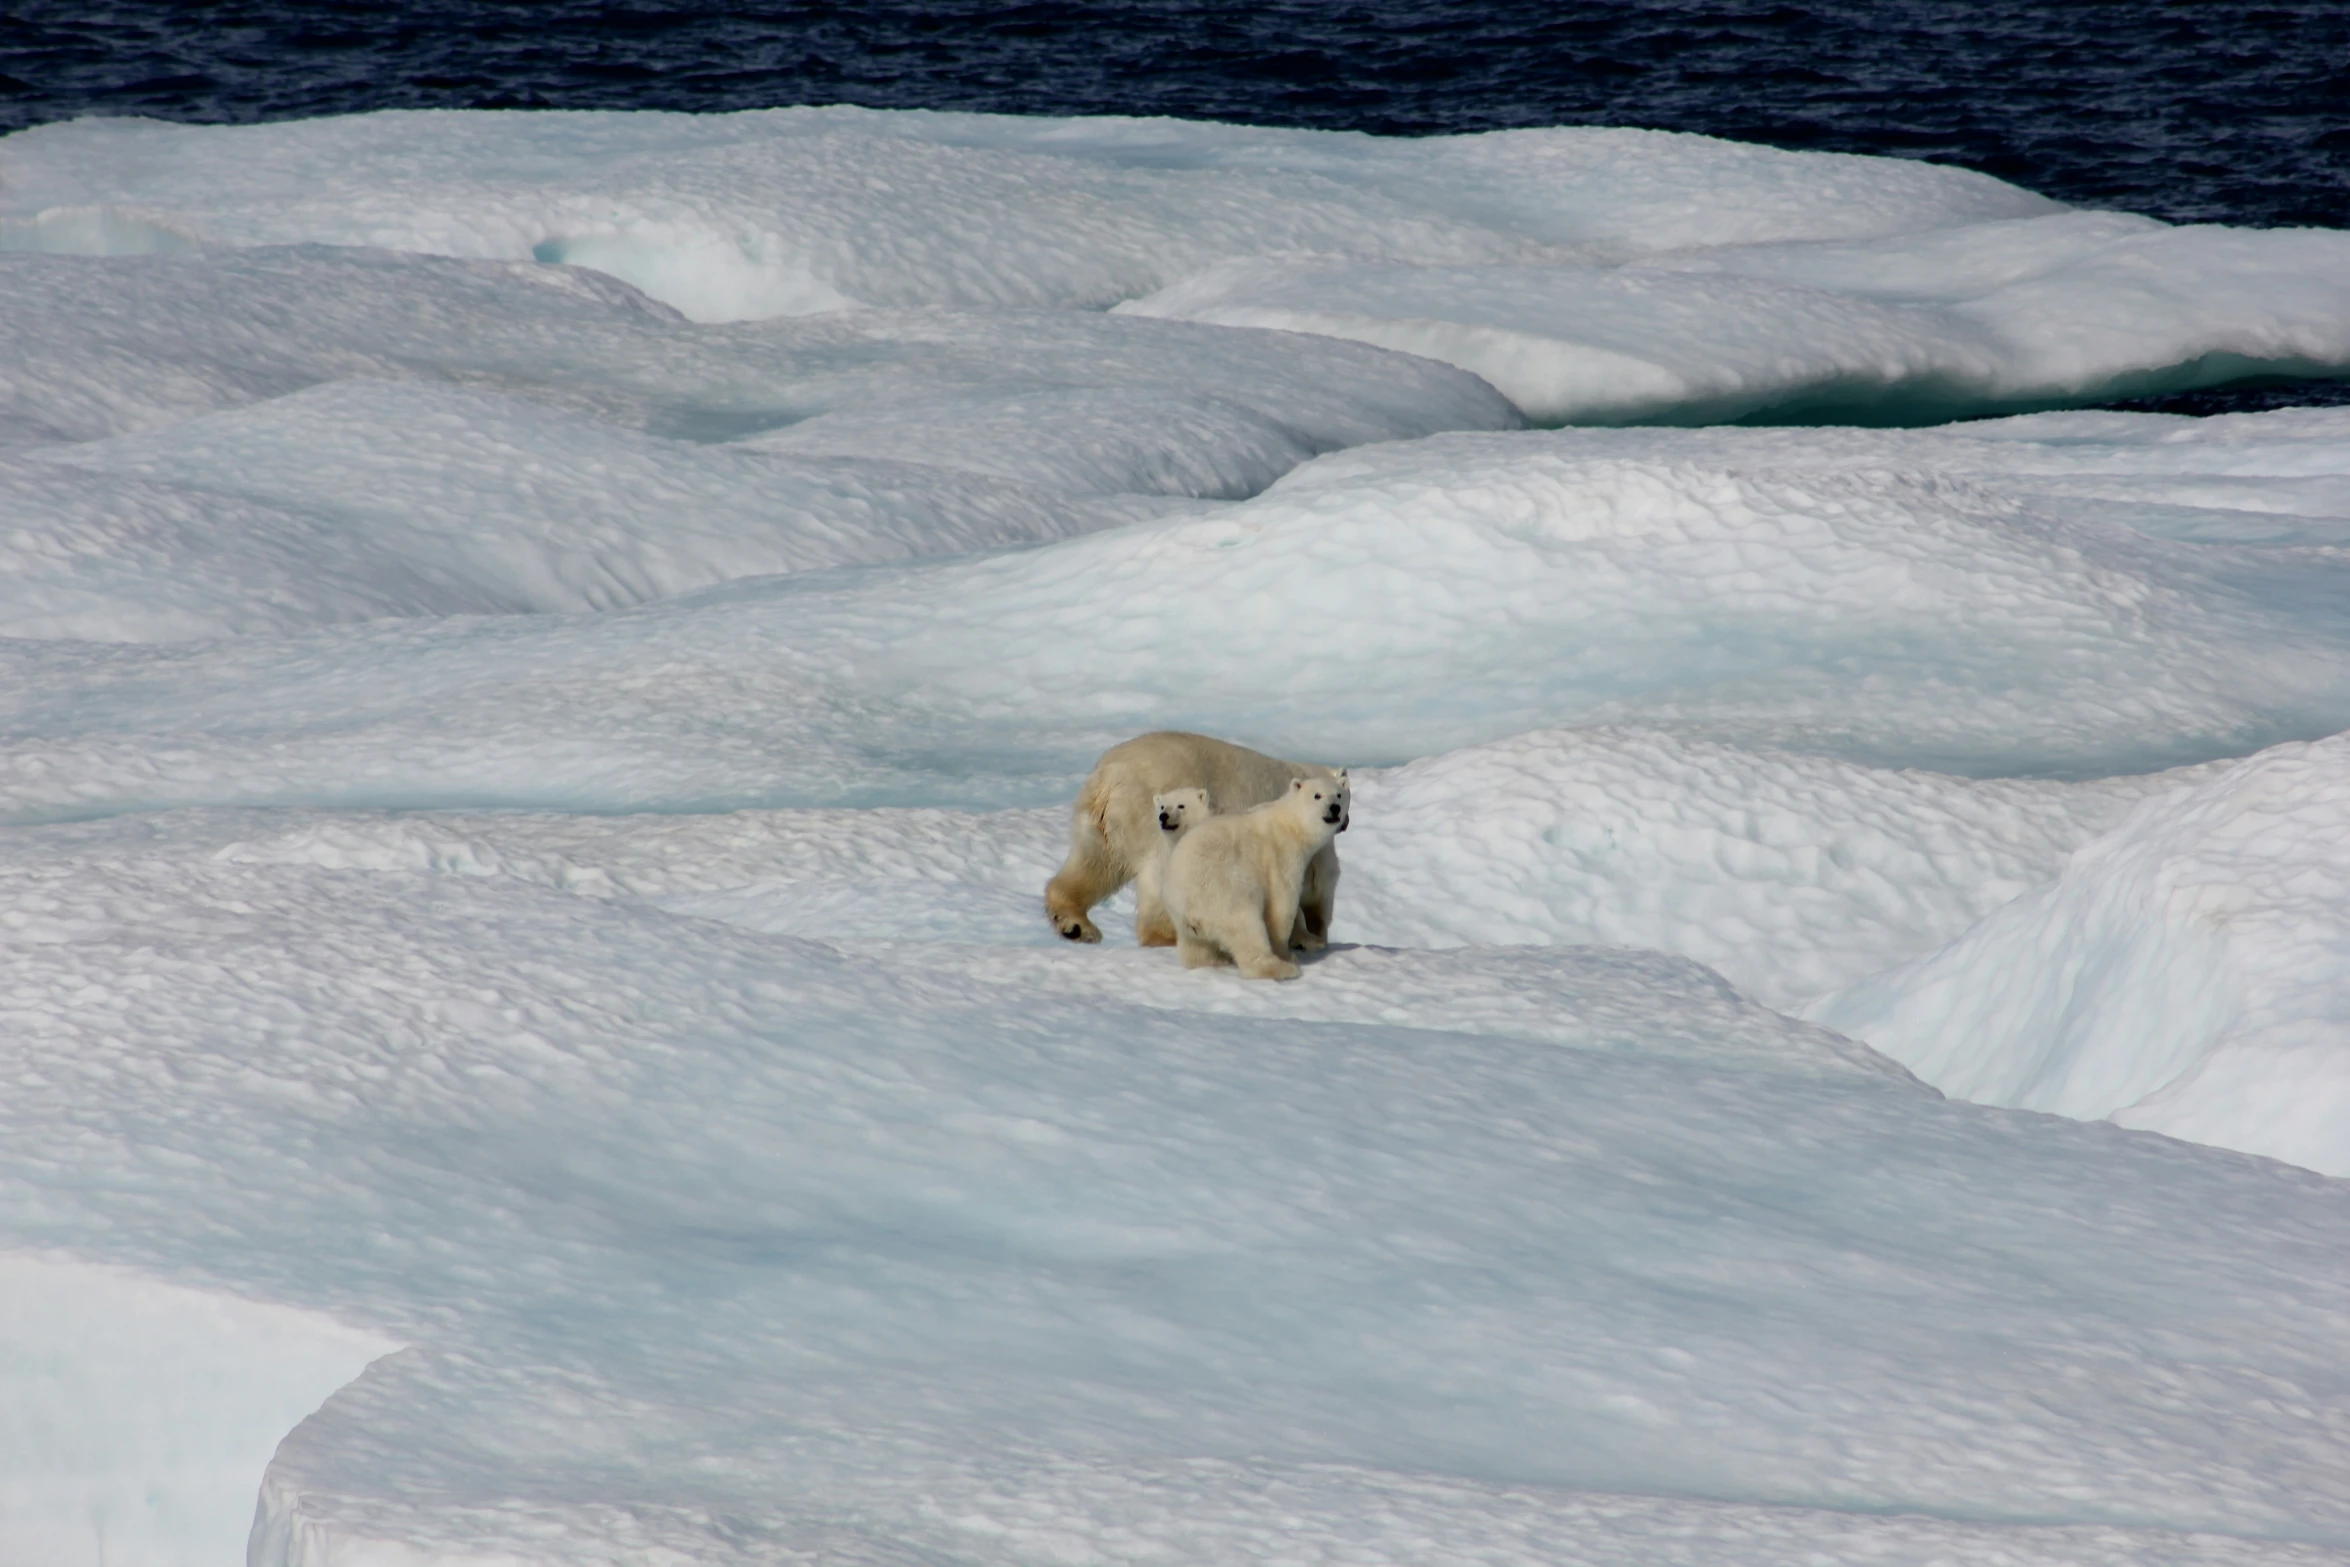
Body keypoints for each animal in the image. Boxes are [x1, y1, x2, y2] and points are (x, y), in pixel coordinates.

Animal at [1048, 732, 1344, 944]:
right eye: (1342, 796)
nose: (1343, 819)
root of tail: (1111, 777)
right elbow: (1316, 886)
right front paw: (1312, 938)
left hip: (1102, 824)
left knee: (1094, 864)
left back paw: (1075, 925)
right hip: (1157, 818)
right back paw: (1168, 935)